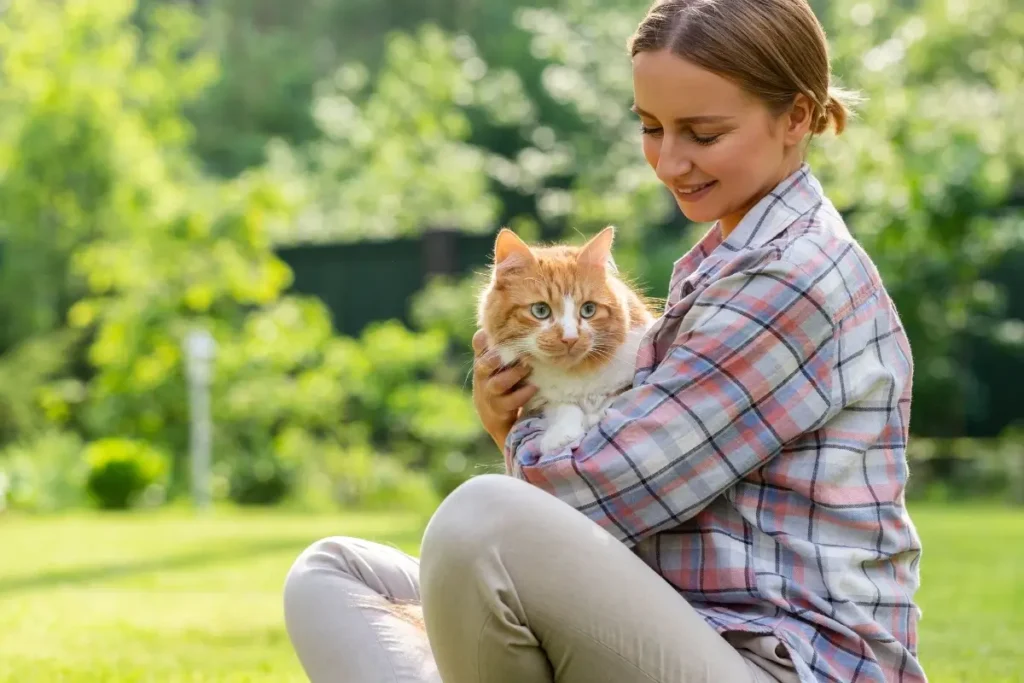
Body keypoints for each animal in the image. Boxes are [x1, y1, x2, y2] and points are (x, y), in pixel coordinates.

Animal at [477, 227, 655, 456]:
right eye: (540, 310)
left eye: (588, 309)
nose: (570, 338)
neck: (576, 374)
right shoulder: (540, 397)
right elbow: (563, 406)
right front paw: (561, 435)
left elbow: (615, 395)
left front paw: (596, 414)